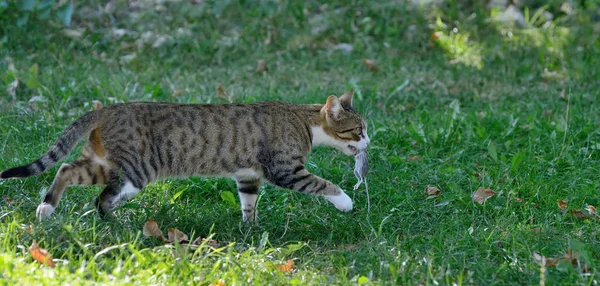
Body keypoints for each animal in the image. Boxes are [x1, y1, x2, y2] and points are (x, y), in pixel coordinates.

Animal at [0, 90, 370, 222]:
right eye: (358, 130)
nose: (369, 143)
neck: (302, 120)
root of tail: (109, 108)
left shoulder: (248, 176)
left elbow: (248, 203)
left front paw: (249, 229)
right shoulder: (285, 169)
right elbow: (322, 184)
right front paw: (346, 202)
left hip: (105, 163)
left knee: (66, 169)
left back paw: (48, 208)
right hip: (135, 171)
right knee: (100, 196)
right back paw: (114, 221)